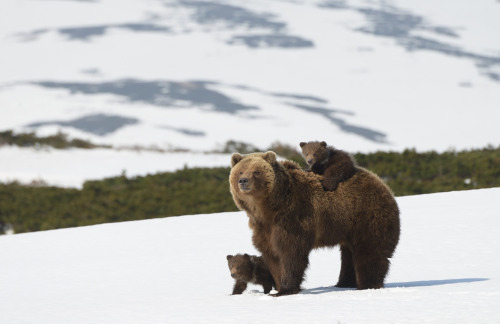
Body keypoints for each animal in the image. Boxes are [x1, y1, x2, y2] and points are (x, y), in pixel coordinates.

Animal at [229, 151, 400, 296]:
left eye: (256, 171)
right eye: (240, 171)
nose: (243, 181)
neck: (268, 209)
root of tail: (382, 184)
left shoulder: (293, 218)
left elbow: (291, 253)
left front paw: (285, 289)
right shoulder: (263, 228)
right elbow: (273, 256)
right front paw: (277, 287)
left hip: (366, 216)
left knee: (369, 251)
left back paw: (367, 285)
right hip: (348, 227)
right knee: (348, 254)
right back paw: (344, 283)